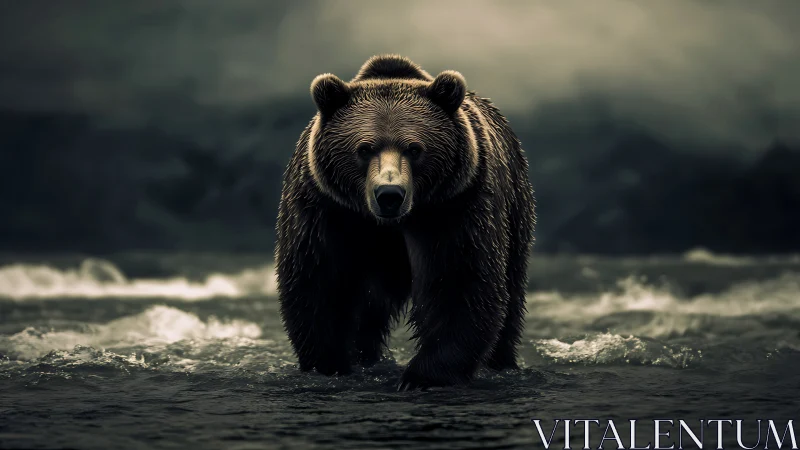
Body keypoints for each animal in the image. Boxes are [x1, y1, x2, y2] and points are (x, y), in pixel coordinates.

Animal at [275, 55, 535, 391]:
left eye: (414, 148)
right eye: (364, 148)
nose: (389, 194)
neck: (391, 223)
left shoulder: (456, 206)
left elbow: (459, 280)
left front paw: (421, 376)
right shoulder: (328, 209)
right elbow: (320, 280)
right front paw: (330, 364)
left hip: (515, 208)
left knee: (511, 290)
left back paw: (501, 362)